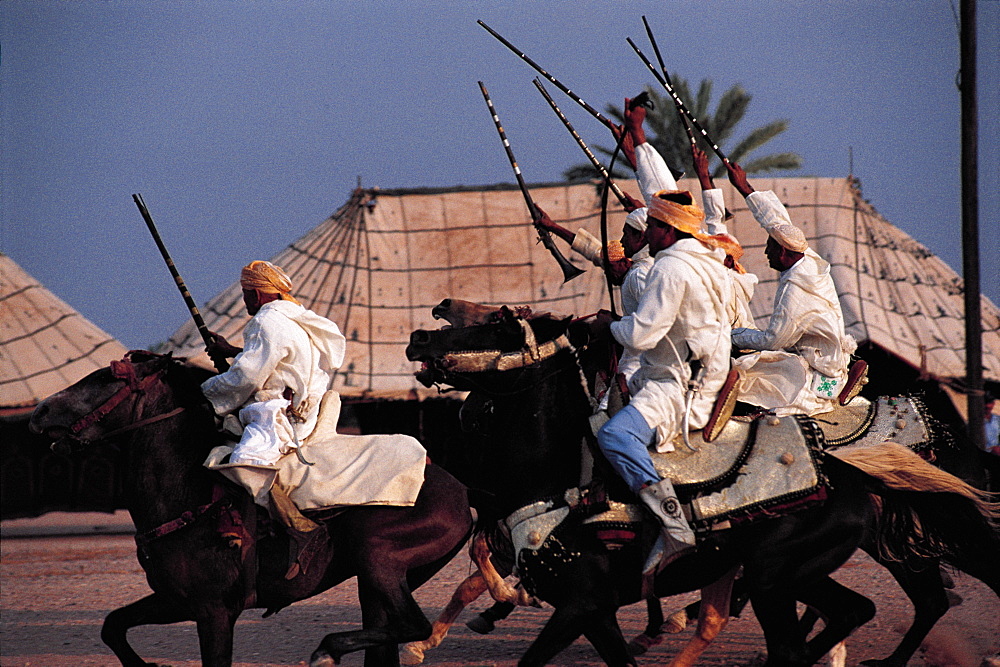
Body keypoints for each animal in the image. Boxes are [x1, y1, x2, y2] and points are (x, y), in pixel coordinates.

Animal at [27, 350, 472, 667]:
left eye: (105, 377)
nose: (38, 411)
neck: (190, 496)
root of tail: (462, 494)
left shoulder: (214, 611)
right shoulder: (175, 600)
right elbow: (112, 626)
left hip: (376, 556)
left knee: (413, 624)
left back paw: (327, 649)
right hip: (374, 583)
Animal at [406, 306, 1000, 667]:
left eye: (498, 326)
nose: (418, 337)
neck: (558, 482)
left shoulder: (579, 603)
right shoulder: (595, 610)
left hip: (779, 576)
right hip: (801, 572)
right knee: (873, 608)